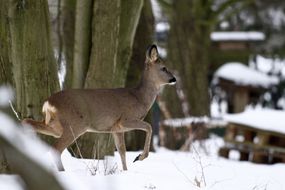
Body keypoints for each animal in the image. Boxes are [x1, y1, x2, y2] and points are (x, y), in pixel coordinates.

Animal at [22, 45, 175, 171]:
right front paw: (139, 157)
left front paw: (126, 171)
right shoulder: (126, 119)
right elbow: (149, 127)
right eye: (164, 68)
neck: (139, 98)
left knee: (27, 122)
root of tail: (48, 102)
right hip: (74, 124)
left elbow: (122, 151)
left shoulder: (116, 129)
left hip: (56, 126)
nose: (174, 79)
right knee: (55, 149)